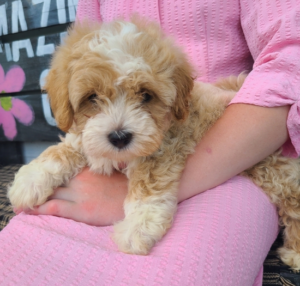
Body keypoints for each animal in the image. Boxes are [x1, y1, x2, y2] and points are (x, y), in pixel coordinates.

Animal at [7, 17, 300, 268]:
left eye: (146, 95)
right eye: (92, 97)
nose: (119, 137)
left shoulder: (165, 145)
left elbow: (148, 183)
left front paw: (138, 227)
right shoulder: (86, 138)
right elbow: (66, 148)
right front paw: (30, 180)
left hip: (270, 167)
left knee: (292, 195)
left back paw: (295, 252)